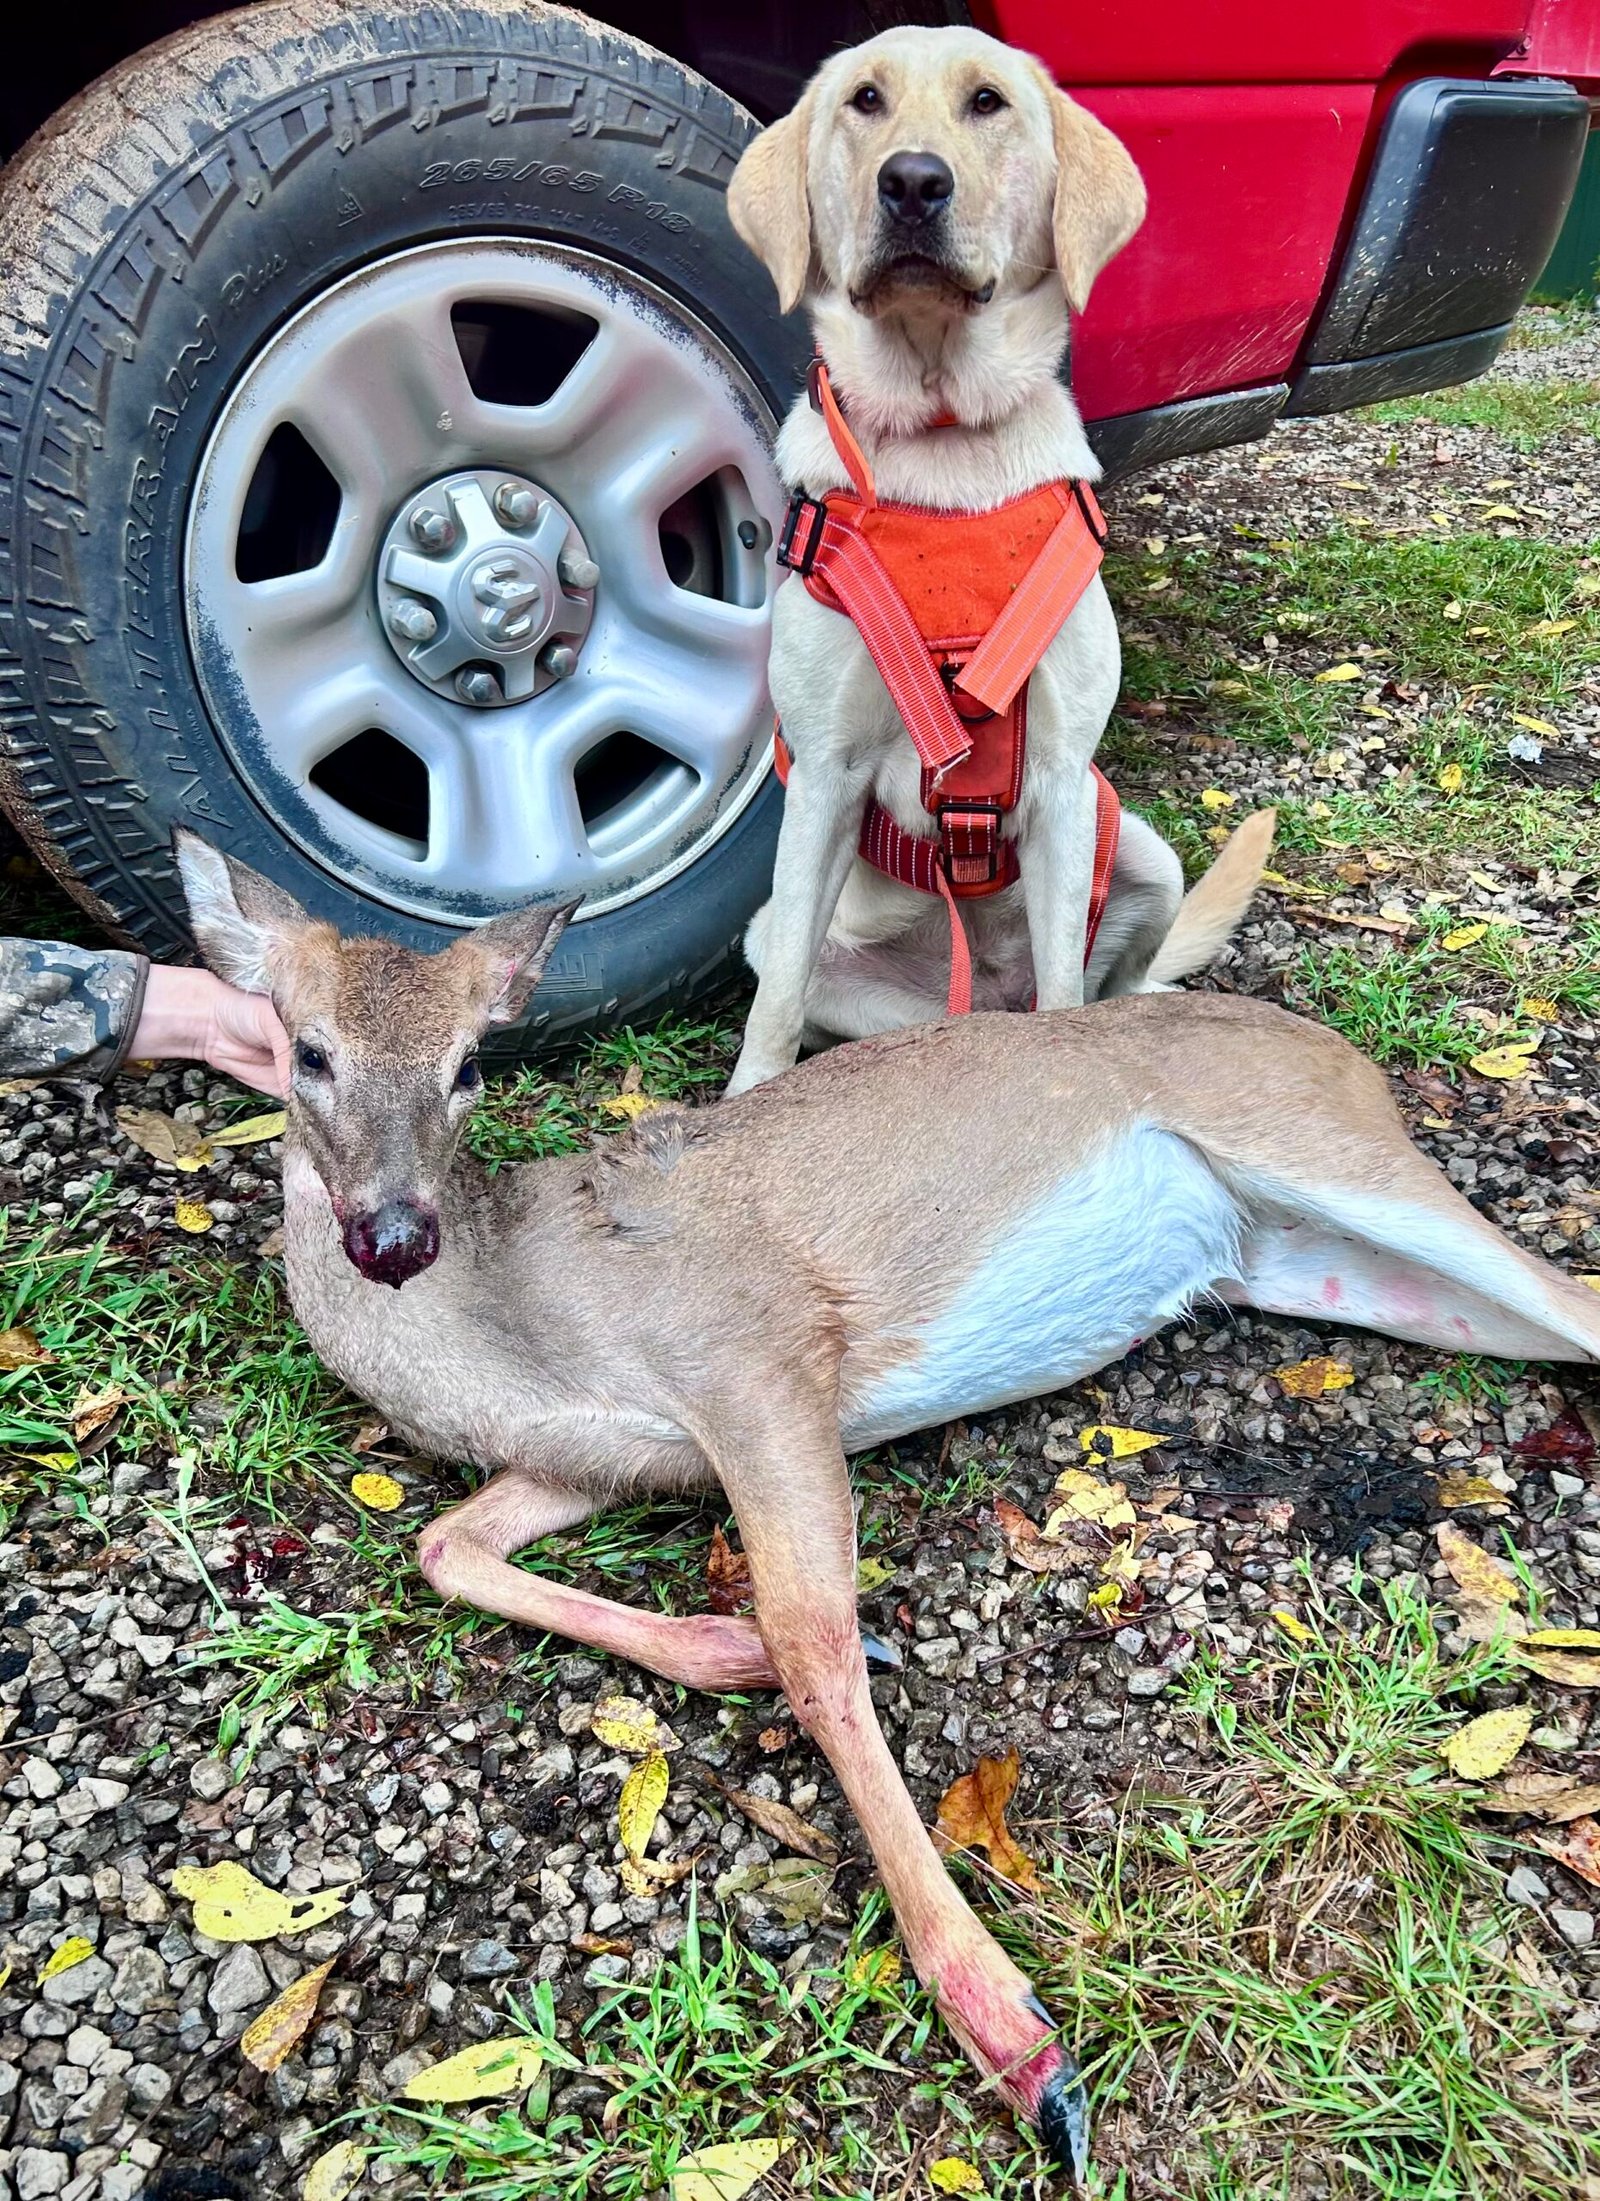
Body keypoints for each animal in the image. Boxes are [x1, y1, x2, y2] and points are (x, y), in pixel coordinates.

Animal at [174, 829, 1600, 2183]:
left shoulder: (756, 1358)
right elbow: (443, 1543)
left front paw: (1022, 2044)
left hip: (1324, 1144)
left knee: (1574, 1297)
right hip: (1311, 1261)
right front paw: (729, 1647)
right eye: (307, 1049)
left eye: (471, 1062)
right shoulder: (598, 1459)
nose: (392, 1235)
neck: (516, 1319)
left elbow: (814, 1641)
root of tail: (1326, 1047)